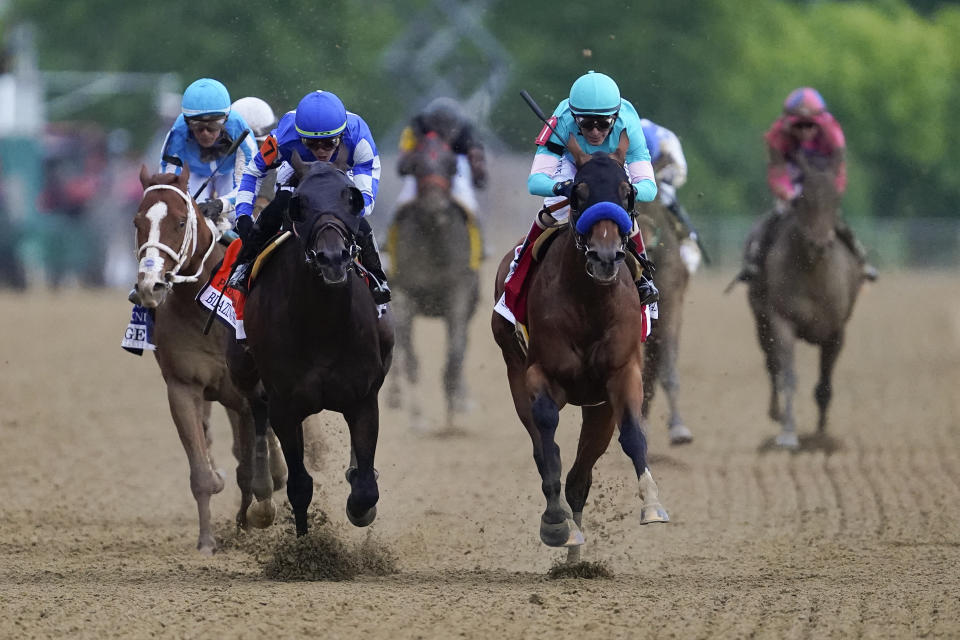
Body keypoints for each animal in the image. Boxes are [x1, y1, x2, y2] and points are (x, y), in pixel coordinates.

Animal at [229, 161, 394, 536]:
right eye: (300, 204)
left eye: (351, 199)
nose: (332, 258)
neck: (322, 325)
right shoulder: (285, 406)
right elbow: (299, 485)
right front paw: (305, 544)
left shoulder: (363, 398)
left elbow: (366, 488)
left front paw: (360, 507)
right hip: (243, 370)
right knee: (256, 410)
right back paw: (261, 497)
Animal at [386, 131, 480, 430]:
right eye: (416, 166)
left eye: (451, 166)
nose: (435, 207)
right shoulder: (404, 293)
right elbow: (410, 356)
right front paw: (417, 417)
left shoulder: (459, 291)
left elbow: (456, 351)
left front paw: (452, 409)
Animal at [492, 132, 672, 564]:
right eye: (577, 193)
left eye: (627, 192)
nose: (605, 257)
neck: (590, 302)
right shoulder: (540, 375)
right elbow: (548, 446)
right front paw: (556, 524)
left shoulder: (621, 375)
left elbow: (633, 435)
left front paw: (652, 505)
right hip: (514, 371)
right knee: (544, 450)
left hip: (597, 408)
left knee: (581, 475)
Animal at [744, 152, 864, 448]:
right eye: (803, 199)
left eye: (836, 200)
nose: (819, 244)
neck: (813, 273)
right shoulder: (781, 322)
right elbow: (787, 375)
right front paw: (788, 432)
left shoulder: (836, 332)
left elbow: (824, 386)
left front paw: (821, 435)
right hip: (760, 322)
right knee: (772, 365)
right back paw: (775, 412)